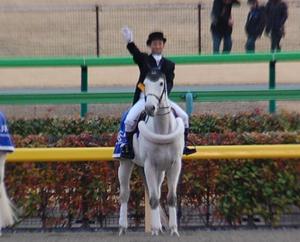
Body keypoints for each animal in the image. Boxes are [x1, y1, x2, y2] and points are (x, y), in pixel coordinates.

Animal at [119, 70, 185, 236]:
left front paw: (173, 229)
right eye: (145, 83)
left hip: (159, 171)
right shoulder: (149, 165)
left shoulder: (175, 164)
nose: (150, 108)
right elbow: (153, 198)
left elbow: (171, 197)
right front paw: (154, 230)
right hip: (125, 164)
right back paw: (123, 227)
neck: (162, 129)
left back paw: (161, 227)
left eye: (161, 83)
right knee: (124, 194)